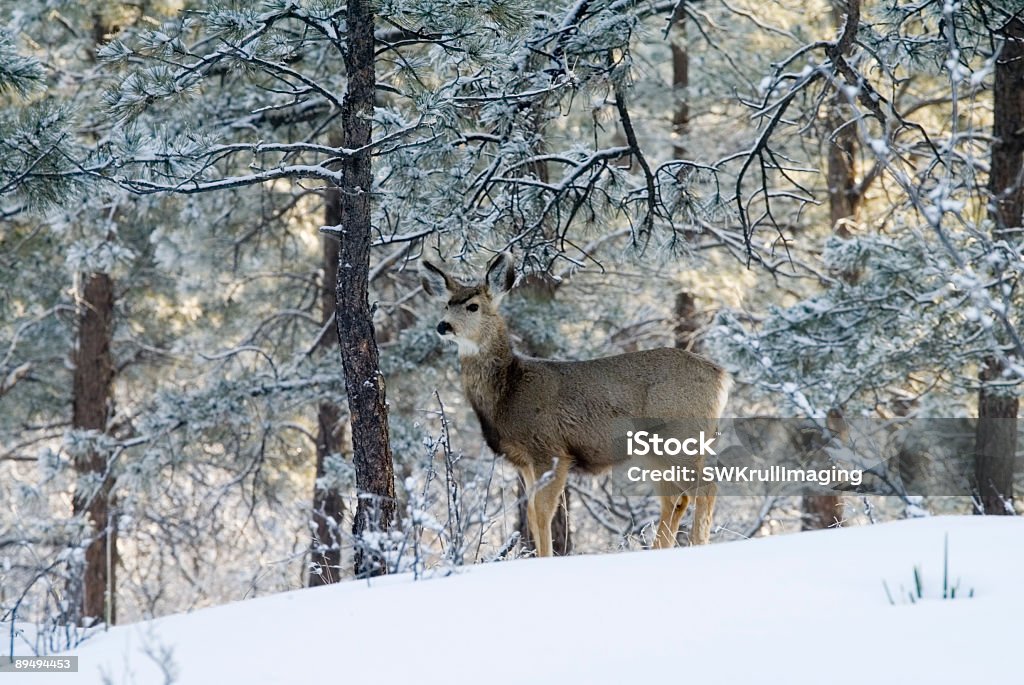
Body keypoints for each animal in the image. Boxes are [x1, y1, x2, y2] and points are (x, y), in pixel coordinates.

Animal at [417, 250, 729, 557]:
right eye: (446, 305)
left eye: (473, 306)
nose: (443, 326)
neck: (508, 391)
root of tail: (721, 376)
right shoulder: (523, 460)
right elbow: (531, 514)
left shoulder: (549, 448)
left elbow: (543, 512)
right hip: (656, 452)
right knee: (675, 498)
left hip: (682, 437)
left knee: (706, 488)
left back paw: (698, 545)